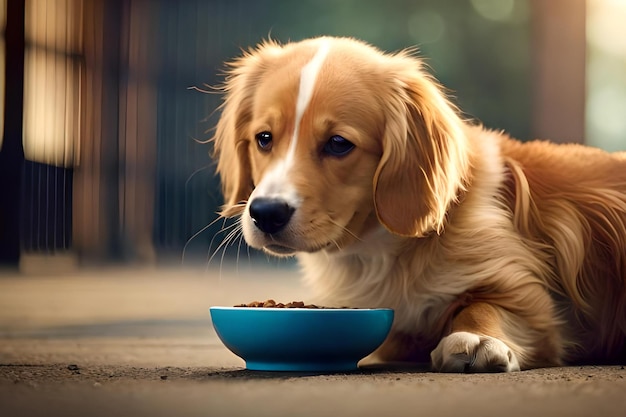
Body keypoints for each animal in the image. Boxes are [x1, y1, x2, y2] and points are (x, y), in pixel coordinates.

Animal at [211, 35, 624, 370]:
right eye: (264, 138)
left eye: (339, 143)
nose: (266, 213)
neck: (378, 254)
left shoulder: (528, 297)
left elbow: (480, 305)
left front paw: (477, 337)